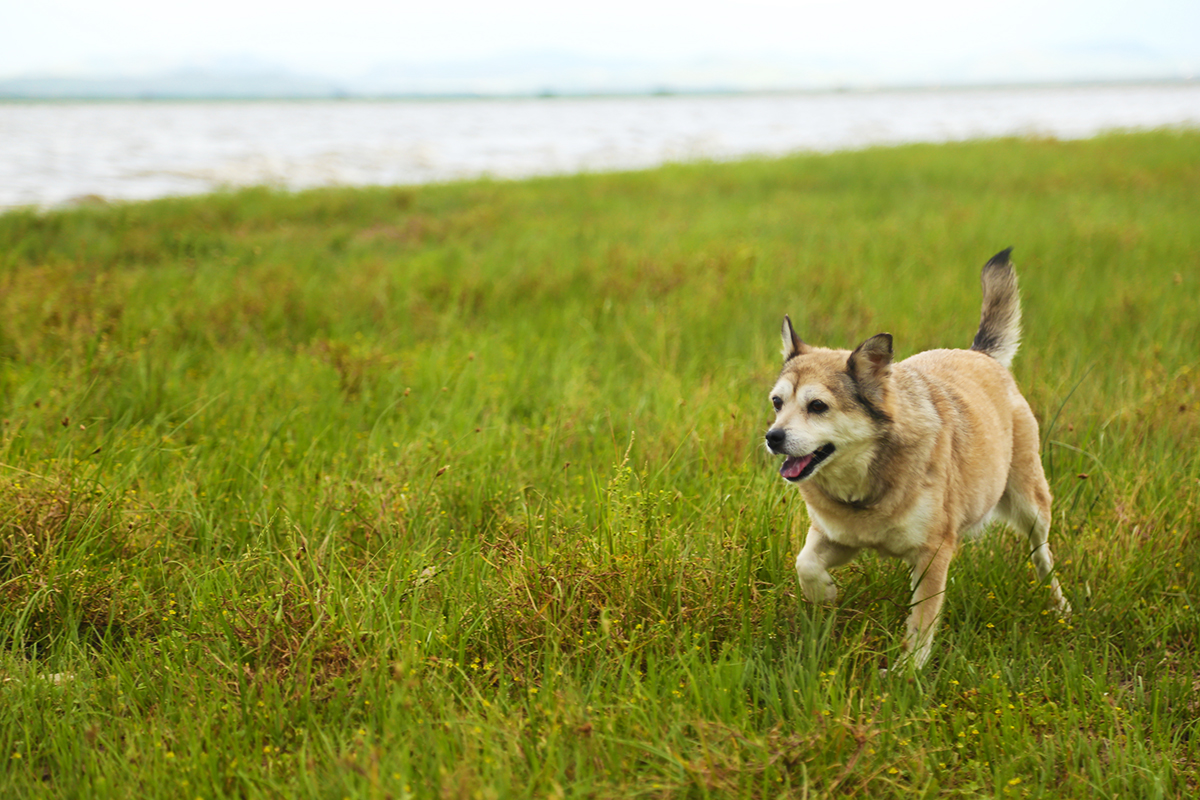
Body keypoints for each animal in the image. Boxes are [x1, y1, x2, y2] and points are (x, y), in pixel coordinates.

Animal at [763, 248, 1075, 671]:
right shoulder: (838, 538)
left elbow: (922, 618)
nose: (773, 437)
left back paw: (1058, 603)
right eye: (777, 403)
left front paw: (907, 670)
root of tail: (980, 354)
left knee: (1041, 552)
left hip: (1031, 504)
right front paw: (824, 593)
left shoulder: (933, 553)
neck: (869, 480)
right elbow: (805, 563)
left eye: (817, 406)